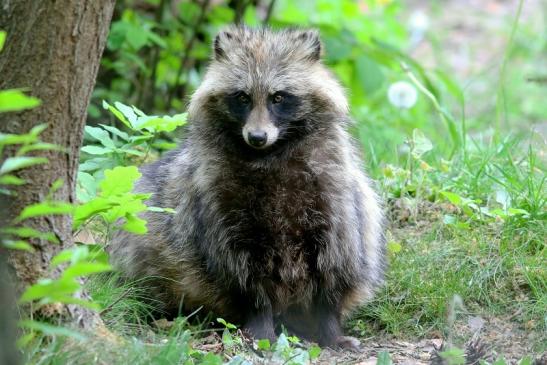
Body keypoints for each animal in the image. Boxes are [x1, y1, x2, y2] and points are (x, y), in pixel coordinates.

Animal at [110, 26, 386, 346]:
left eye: (278, 97)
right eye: (242, 97)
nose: (256, 137)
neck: (268, 156)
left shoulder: (334, 194)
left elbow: (337, 261)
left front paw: (330, 325)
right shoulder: (218, 198)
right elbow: (241, 269)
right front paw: (260, 320)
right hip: (143, 233)